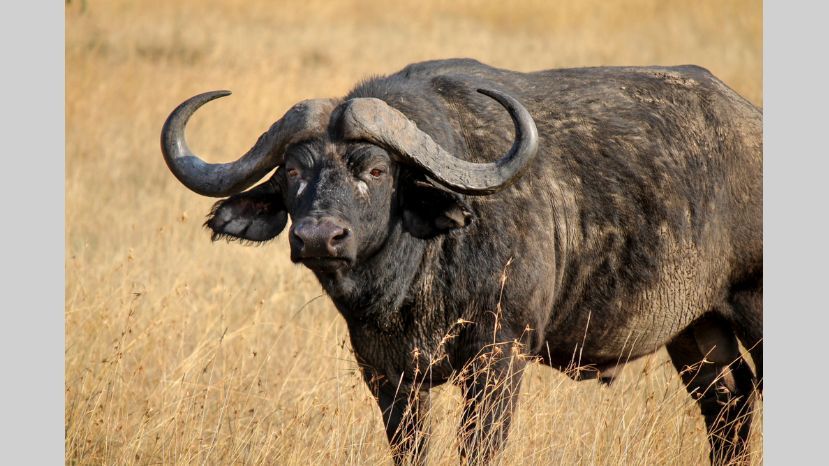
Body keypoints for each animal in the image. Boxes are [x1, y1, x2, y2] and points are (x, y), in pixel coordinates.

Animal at [158, 57, 760, 462]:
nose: (318, 237)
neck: (414, 281)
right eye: (291, 171)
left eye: (376, 169)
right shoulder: (386, 373)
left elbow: (479, 449)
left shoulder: (499, 357)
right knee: (728, 407)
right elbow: (410, 450)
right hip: (696, 330)